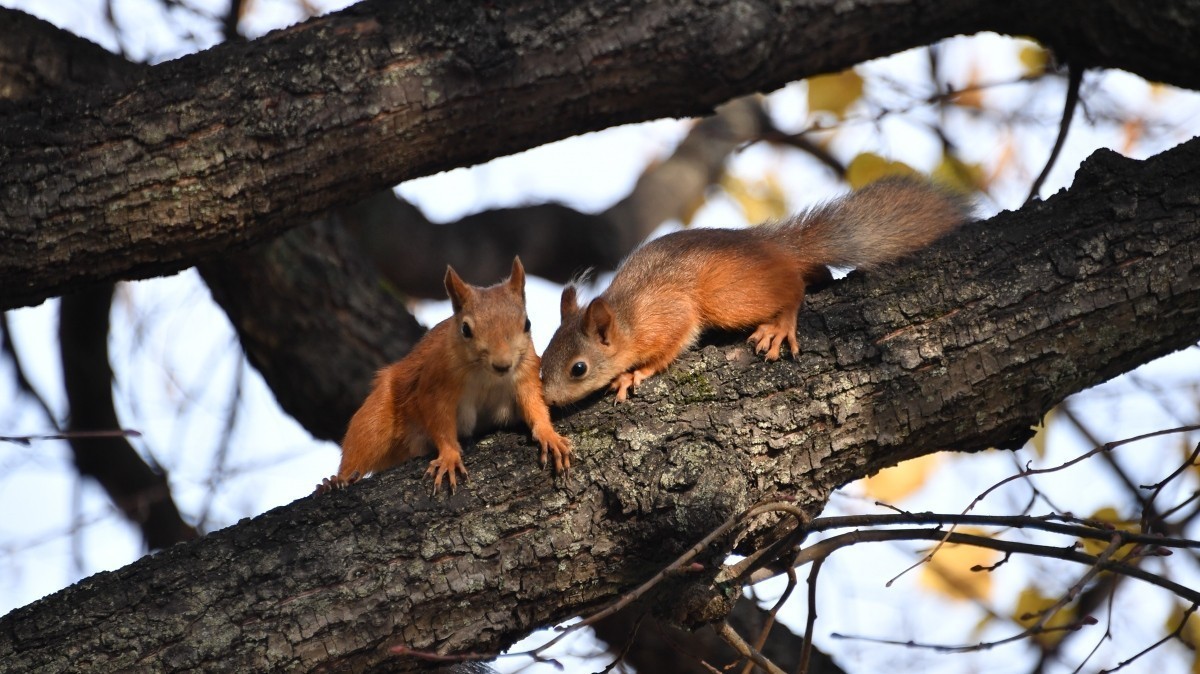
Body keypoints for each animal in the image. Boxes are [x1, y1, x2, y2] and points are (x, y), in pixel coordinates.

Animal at [319, 256, 571, 494]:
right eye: (465, 329)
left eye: (527, 324)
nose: (502, 365)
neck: (487, 376)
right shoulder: (436, 384)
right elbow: (439, 421)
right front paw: (449, 456)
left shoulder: (526, 375)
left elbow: (535, 405)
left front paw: (549, 435)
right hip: (376, 417)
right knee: (361, 447)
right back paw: (335, 481)